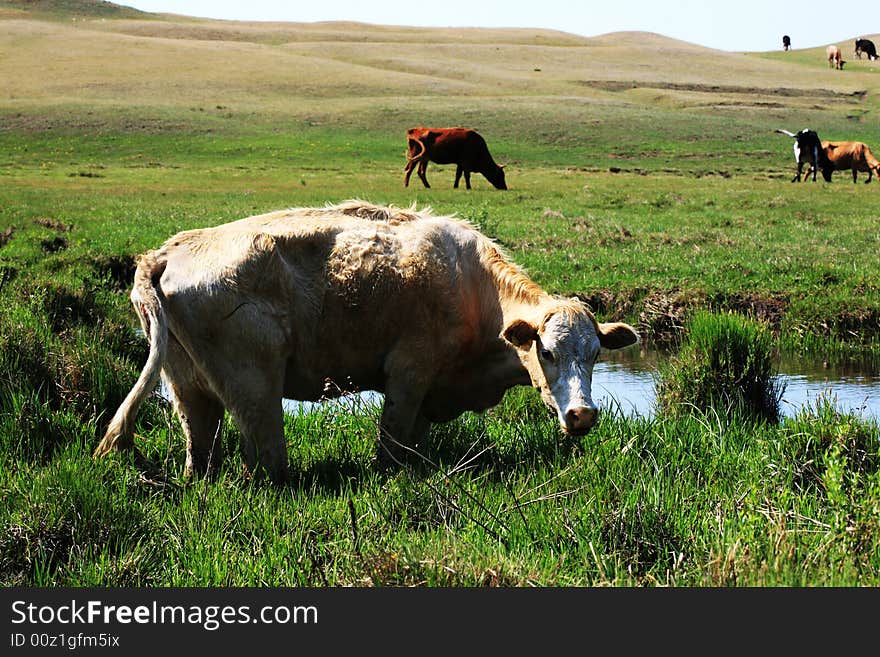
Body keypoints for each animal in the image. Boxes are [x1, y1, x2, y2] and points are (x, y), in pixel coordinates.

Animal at [93, 197, 636, 480]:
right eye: (546, 351)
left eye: (594, 355)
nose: (582, 414)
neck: (472, 286)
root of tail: (167, 251)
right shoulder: (409, 373)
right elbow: (392, 441)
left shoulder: (429, 391)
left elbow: (414, 438)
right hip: (256, 387)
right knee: (264, 455)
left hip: (188, 389)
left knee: (200, 448)